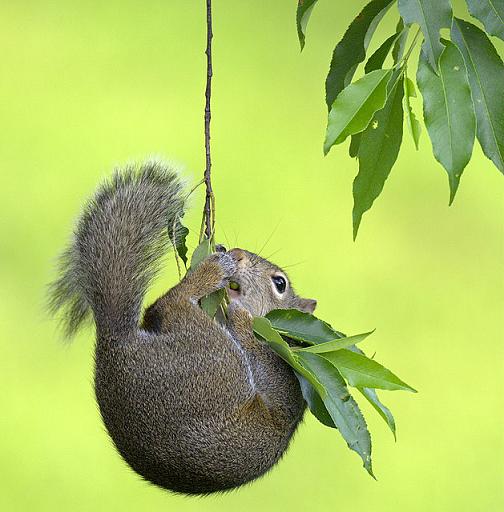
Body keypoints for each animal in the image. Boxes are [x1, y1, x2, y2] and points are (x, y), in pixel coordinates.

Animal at [47, 161, 316, 496]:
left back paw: (207, 273)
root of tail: (117, 346)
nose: (238, 253)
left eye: (279, 284)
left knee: (169, 304)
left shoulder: (284, 378)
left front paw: (244, 318)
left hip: (215, 362)